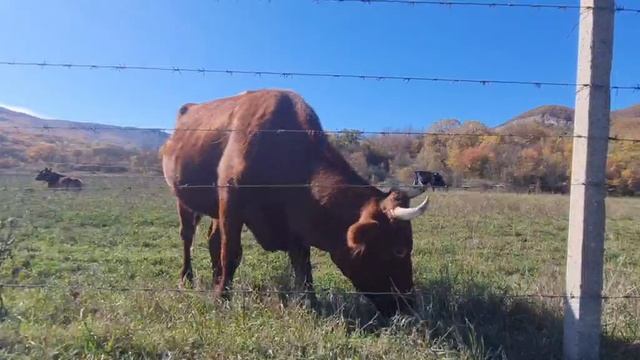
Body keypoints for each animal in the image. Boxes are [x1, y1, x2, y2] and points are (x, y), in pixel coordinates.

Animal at [160, 90, 430, 316]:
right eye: (399, 250)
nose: (409, 305)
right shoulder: (231, 203)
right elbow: (232, 253)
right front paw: (221, 298)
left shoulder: (295, 224)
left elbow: (303, 267)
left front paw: (312, 303)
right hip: (185, 201)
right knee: (188, 236)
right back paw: (188, 278)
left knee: (213, 240)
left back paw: (215, 276)